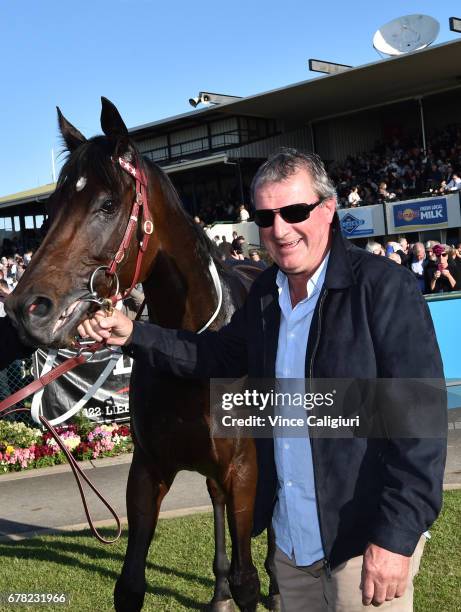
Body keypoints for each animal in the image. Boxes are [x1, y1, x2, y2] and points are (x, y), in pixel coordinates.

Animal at [7, 98, 278, 608]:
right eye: (50, 207)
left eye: (108, 204)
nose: (25, 308)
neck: (193, 354)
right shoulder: (148, 470)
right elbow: (131, 582)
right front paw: (221, 586)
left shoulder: (243, 470)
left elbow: (248, 578)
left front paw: (258, 584)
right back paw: (218, 590)